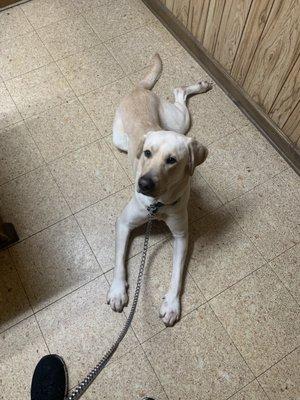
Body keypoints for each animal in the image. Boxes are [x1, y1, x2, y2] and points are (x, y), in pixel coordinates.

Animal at [108, 54, 211, 324]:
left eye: (172, 160)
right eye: (147, 153)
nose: (143, 184)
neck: (158, 205)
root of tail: (140, 89)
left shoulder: (181, 235)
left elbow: (177, 274)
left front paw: (172, 304)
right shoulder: (123, 223)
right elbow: (119, 261)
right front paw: (117, 291)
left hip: (178, 123)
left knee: (179, 92)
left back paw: (200, 85)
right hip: (122, 139)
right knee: (177, 92)